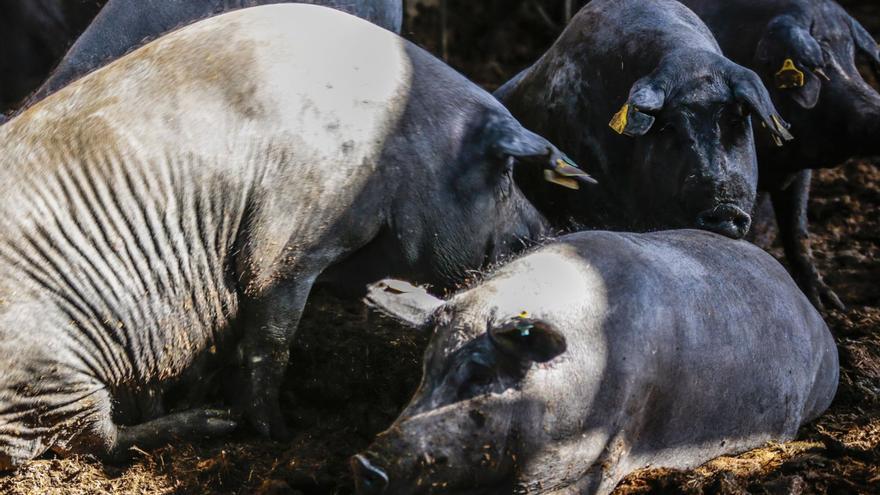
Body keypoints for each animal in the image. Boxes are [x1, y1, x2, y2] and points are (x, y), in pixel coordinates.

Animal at [0, 2, 592, 468]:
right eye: (506, 173)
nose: (549, 231)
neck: (401, 148)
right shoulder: (290, 237)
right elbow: (270, 344)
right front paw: (278, 434)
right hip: (52, 369)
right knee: (97, 440)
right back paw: (212, 423)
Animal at [676, 0, 876, 310]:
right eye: (819, 66)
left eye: (852, 58)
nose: (874, 108)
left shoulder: (797, 171)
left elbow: (797, 228)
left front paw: (827, 304)